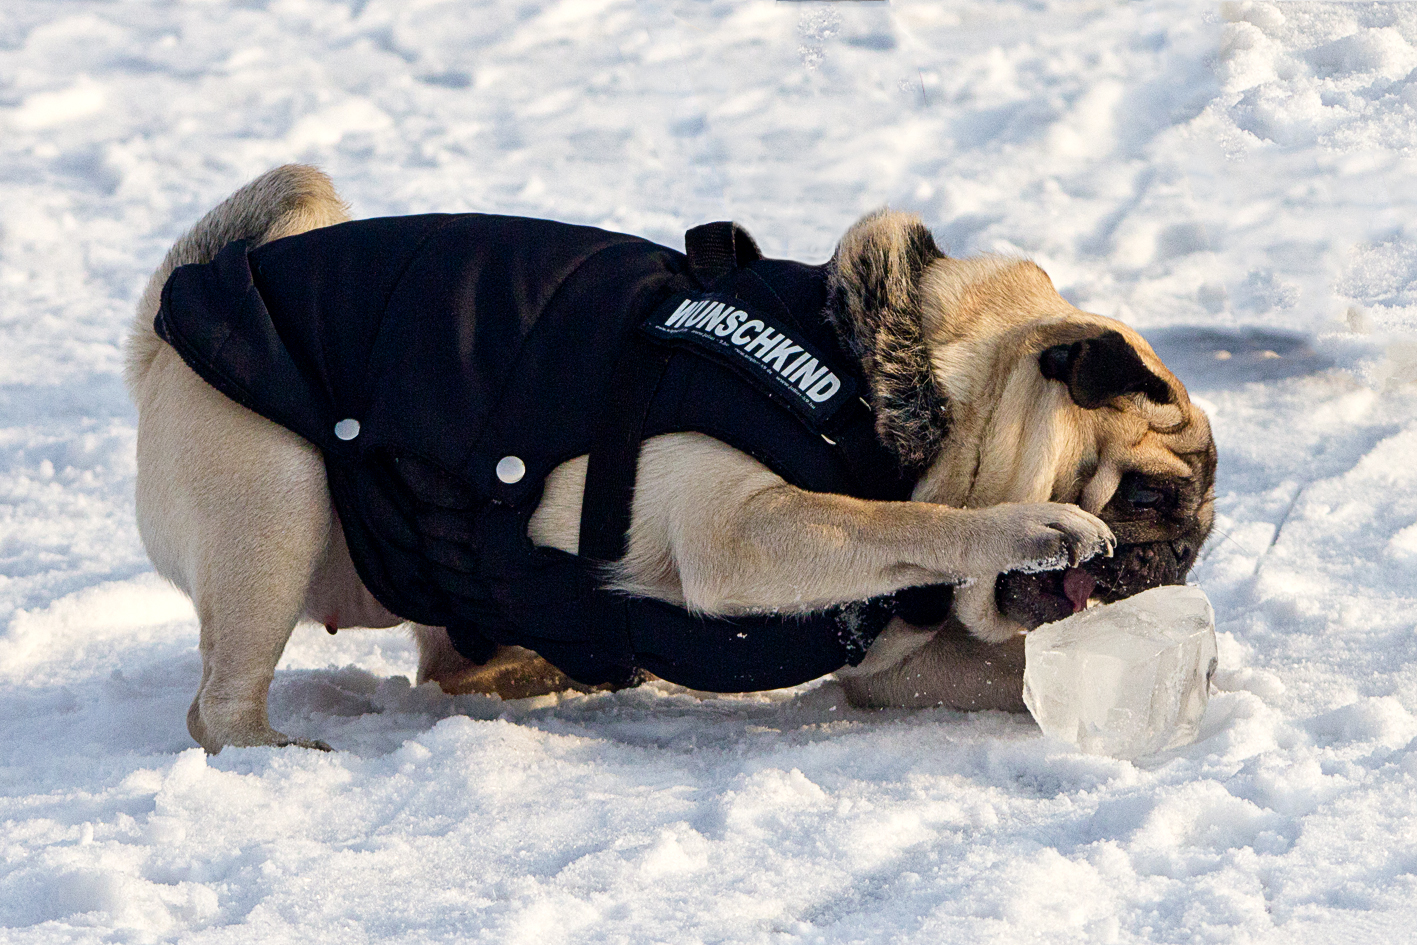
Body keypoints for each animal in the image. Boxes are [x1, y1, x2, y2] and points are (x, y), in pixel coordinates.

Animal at [127, 166, 1218, 748]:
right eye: (1147, 498)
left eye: (1196, 531)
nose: (1176, 560)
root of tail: (168, 318)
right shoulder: (740, 533)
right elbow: (905, 520)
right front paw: (1026, 527)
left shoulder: (900, 666)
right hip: (275, 507)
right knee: (214, 704)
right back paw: (274, 747)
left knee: (445, 659)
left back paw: (539, 669)